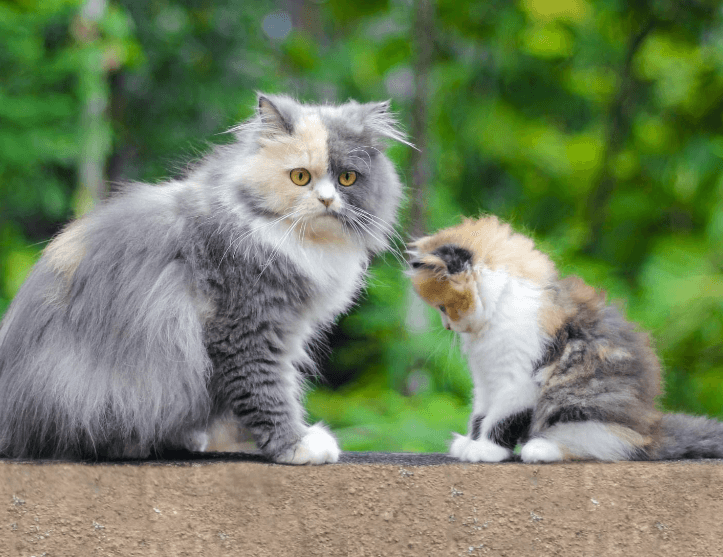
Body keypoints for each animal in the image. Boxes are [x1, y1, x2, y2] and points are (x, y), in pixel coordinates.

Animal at [0, 93, 410, 462]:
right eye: (300, 177)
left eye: (347, 178)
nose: (326, 200)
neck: (301, 244)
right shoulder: (247, 329)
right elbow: (268, 392)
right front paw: (297, 445)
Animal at [410, 215, 723, 462]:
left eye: (443, 307)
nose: (447, 326)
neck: (500, 309)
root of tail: (652, 431)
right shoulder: (486, 379)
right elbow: (481, 413)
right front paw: (470, 441)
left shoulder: (519, 379)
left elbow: (502, 416)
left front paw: (486, 449)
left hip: (581, 406)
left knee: (609, 445)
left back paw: (541, 448)